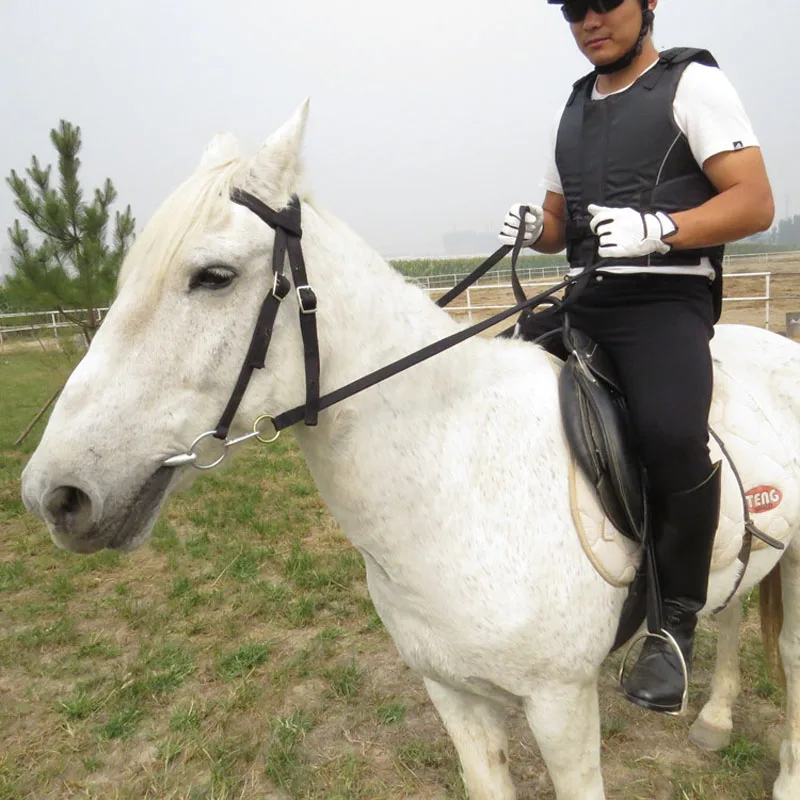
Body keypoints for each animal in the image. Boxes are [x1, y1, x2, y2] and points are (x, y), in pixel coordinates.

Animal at [17, 103, 800, 796]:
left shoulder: (561, 703)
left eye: (213, 276)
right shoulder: (453, 694)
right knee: (731, 607)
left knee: (788, 658)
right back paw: (715, 720)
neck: (457, 482)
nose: (56, 494)